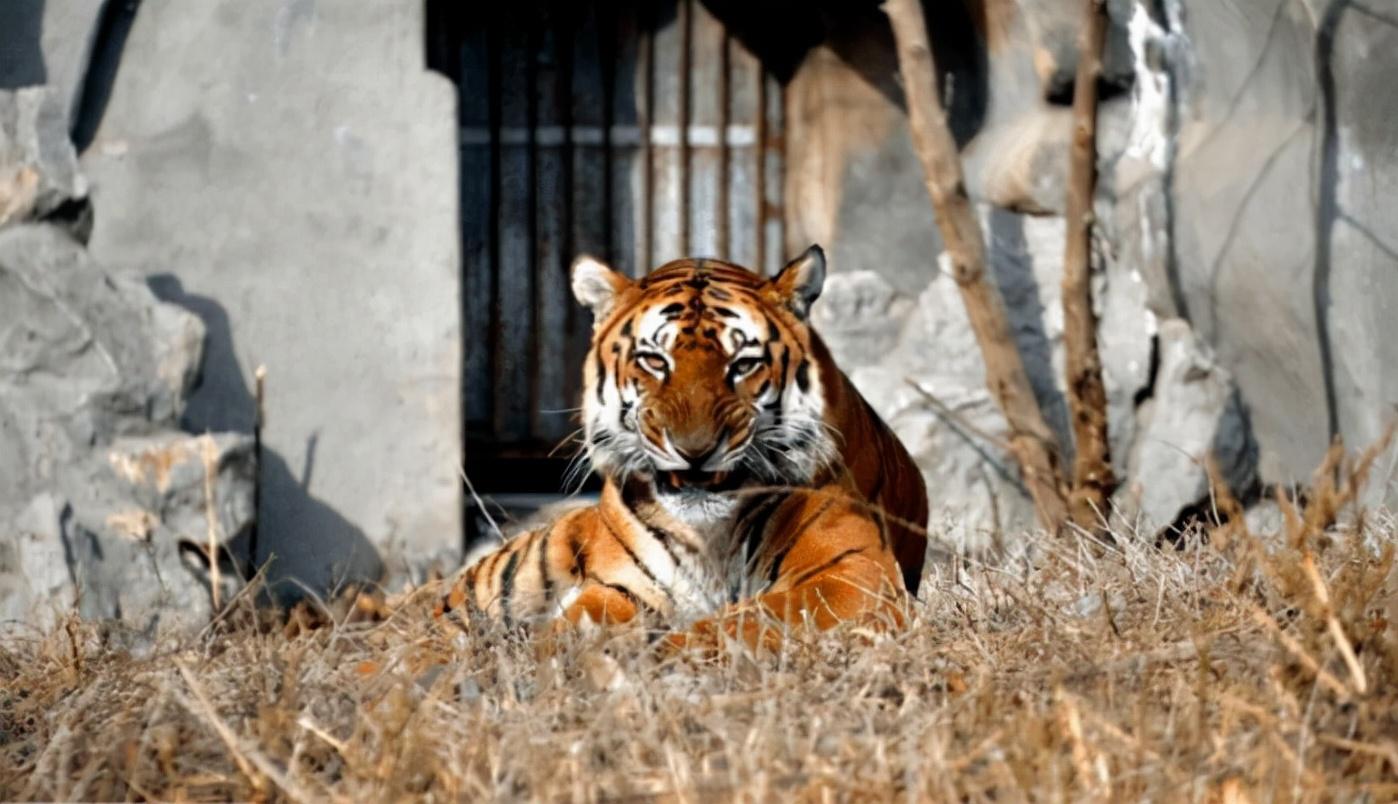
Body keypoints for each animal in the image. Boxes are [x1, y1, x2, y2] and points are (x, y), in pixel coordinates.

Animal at [438, 248, 928, 651]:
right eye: (655, 360)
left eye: (743, 364)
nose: (695, 451)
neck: (710, 537)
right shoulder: (621, 586)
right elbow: (576, 623)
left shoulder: (851, 572)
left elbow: (742, 622)